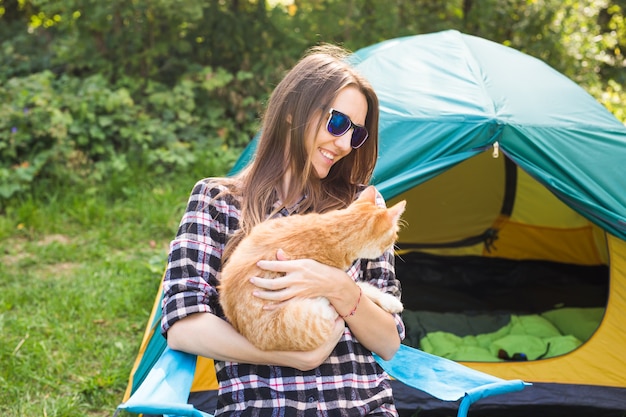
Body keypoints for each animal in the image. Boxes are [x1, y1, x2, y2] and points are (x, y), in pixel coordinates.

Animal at [219, 186, 404, 352]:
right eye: (394, 233)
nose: (396, 239)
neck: (334, 229)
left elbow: (362, 287)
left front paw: (390, 301)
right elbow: (361, 288)